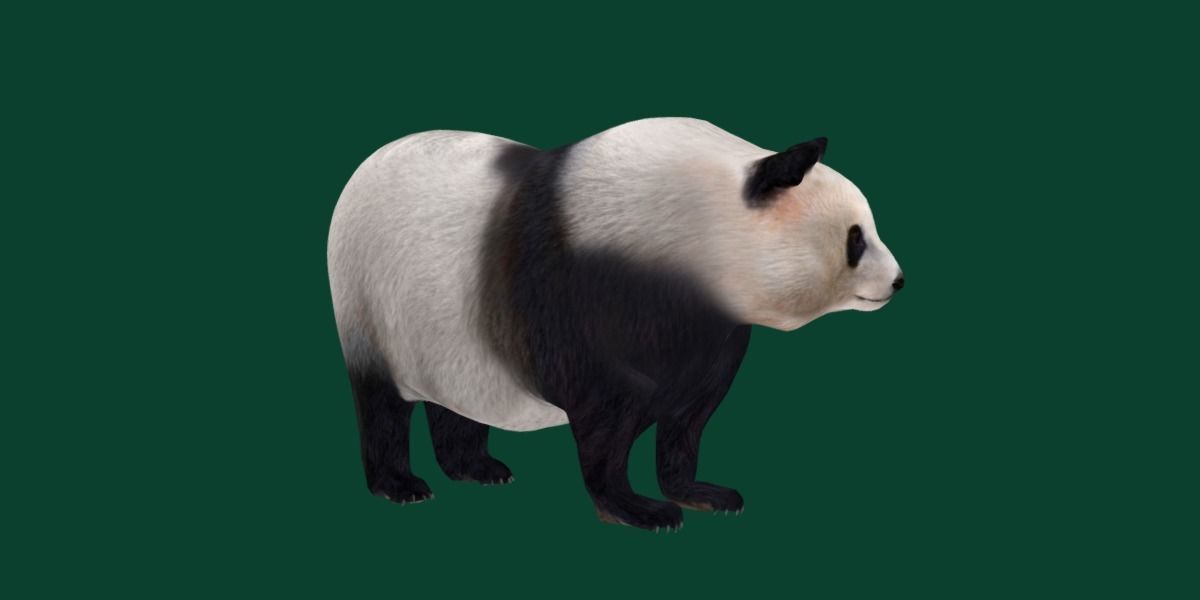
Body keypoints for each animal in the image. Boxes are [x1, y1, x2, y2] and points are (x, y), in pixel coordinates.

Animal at [327, 117, 903, 531]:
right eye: (855, 238)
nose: (898, 281)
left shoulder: (709, 329)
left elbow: (690, 415)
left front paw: (699, 493)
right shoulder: (579, 282)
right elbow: (606, 409)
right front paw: (639, 509)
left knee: (457, 396)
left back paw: (478, 469)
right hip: (371, 300)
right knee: (381, 404)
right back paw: (402, 485)